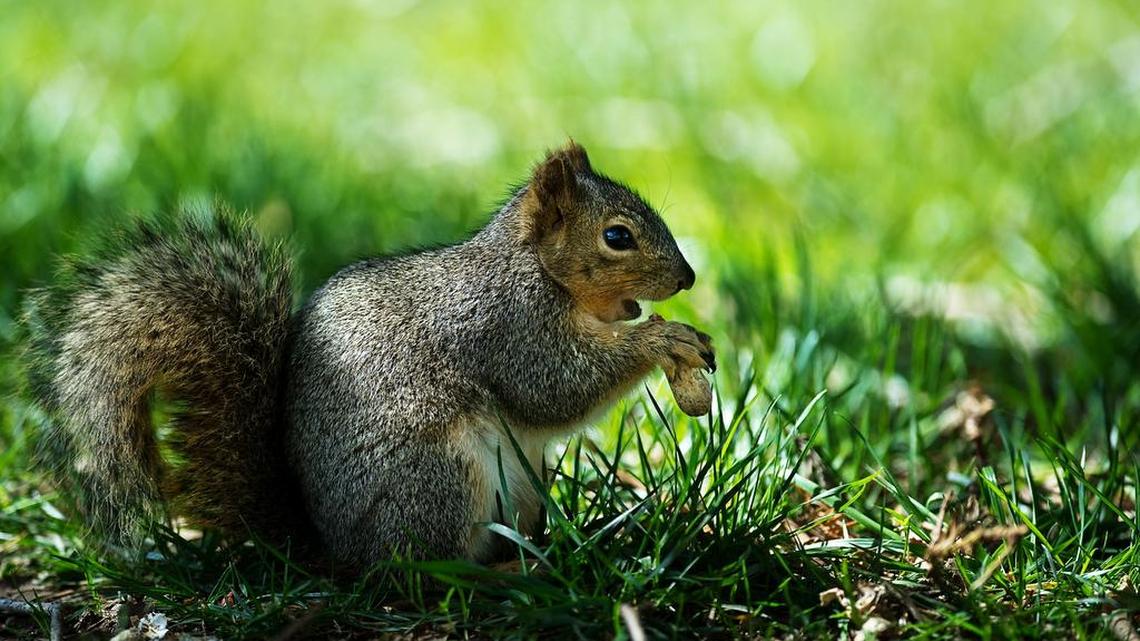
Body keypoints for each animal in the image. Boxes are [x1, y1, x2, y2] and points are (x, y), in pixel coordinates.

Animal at [23, 142, 716, 566]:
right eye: (617, 237)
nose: (686, 279)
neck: (536, 269)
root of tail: (330, 547)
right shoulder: (507, 325)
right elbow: (553, 387)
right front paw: (662, 340)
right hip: (437, 477)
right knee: (422, 571)